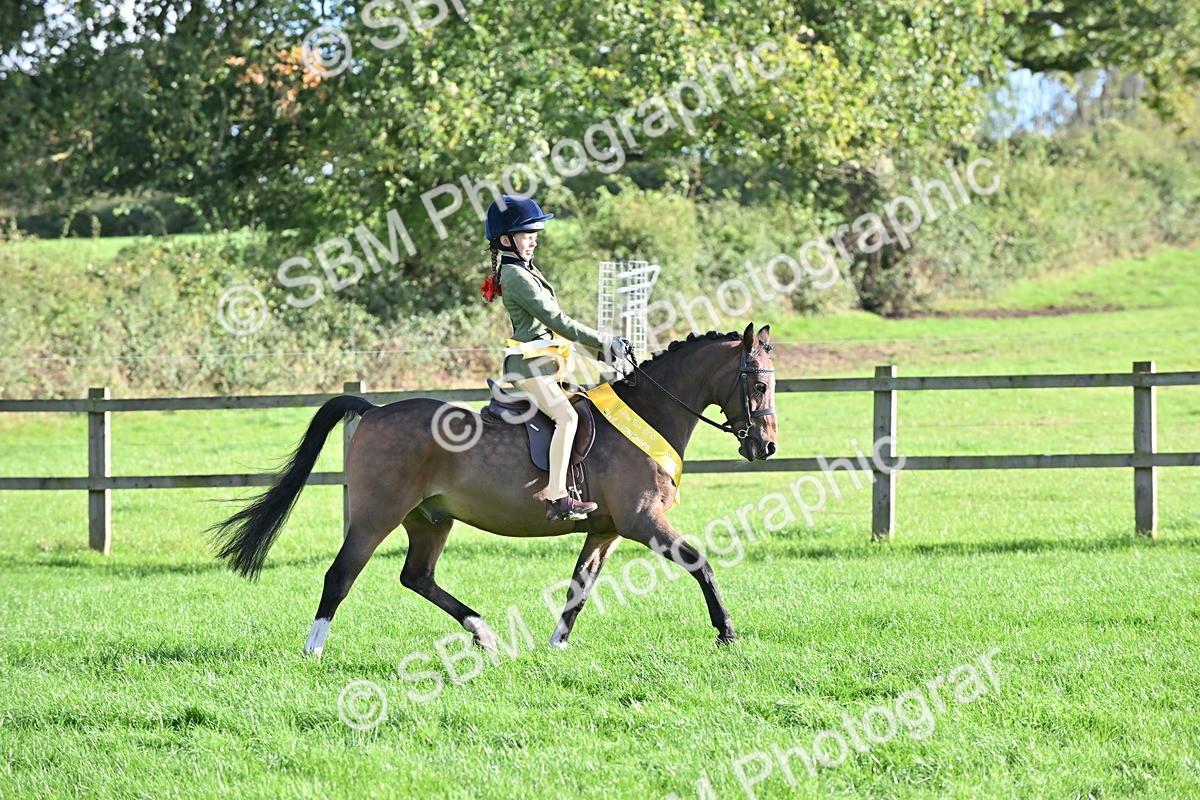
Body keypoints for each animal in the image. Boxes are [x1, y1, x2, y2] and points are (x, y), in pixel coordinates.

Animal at [210, 323, 777, 655]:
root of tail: (373, 411)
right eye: (758, 383)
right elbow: (699, 562)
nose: (765, 447)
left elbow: (580, 586)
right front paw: (727, 632)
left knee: (417, 577)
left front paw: (556, 646)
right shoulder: (644, 521)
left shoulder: (606, 530)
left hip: (430, 519)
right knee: (340, 575)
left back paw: (483, 633)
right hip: (376, 515)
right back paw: (314, 650)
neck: (648, 413)